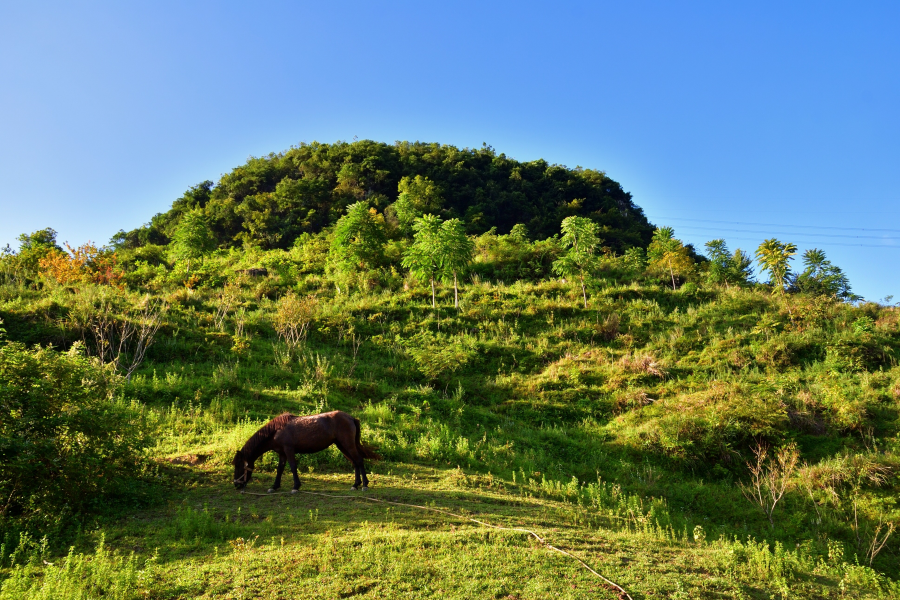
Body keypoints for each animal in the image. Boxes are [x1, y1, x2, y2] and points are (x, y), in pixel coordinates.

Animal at [230, 410, 378, 494]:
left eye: (238, 465)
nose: (236, 484)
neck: (276, 430)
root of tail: (351, 418)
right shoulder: (282, 453)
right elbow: (280, 469)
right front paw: (275, 486)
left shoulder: (289, 450)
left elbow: (293, 467)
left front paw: (296, 487)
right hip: (342, 446)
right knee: (354, 463)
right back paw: (355, 485)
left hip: (348, 445)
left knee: (359, 460)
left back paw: (364, 485)